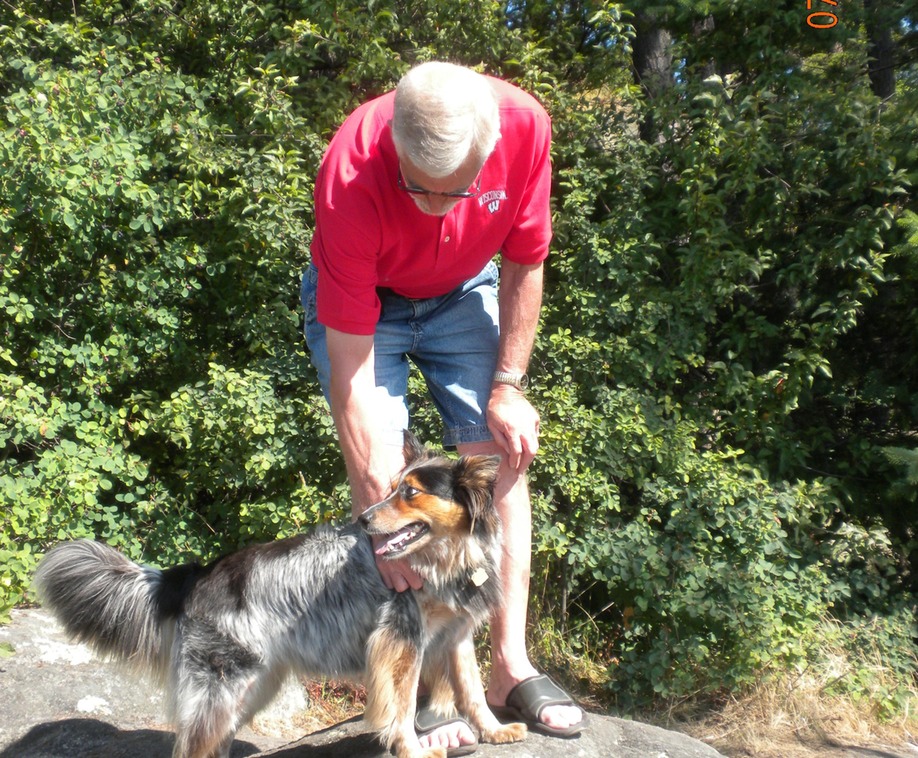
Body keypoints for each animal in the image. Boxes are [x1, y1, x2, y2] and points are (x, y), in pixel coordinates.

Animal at [34, 434, 524, 758]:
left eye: (410, 493)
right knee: (191, 748)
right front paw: (414, 748)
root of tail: (201, 573)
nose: (364, 519)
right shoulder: (400, 640)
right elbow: (400, 708)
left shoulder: (455, 637)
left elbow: (473, 692)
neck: (446, 558)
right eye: (390, 490)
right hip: (221, 689)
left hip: (253, 687)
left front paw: (494, 730)